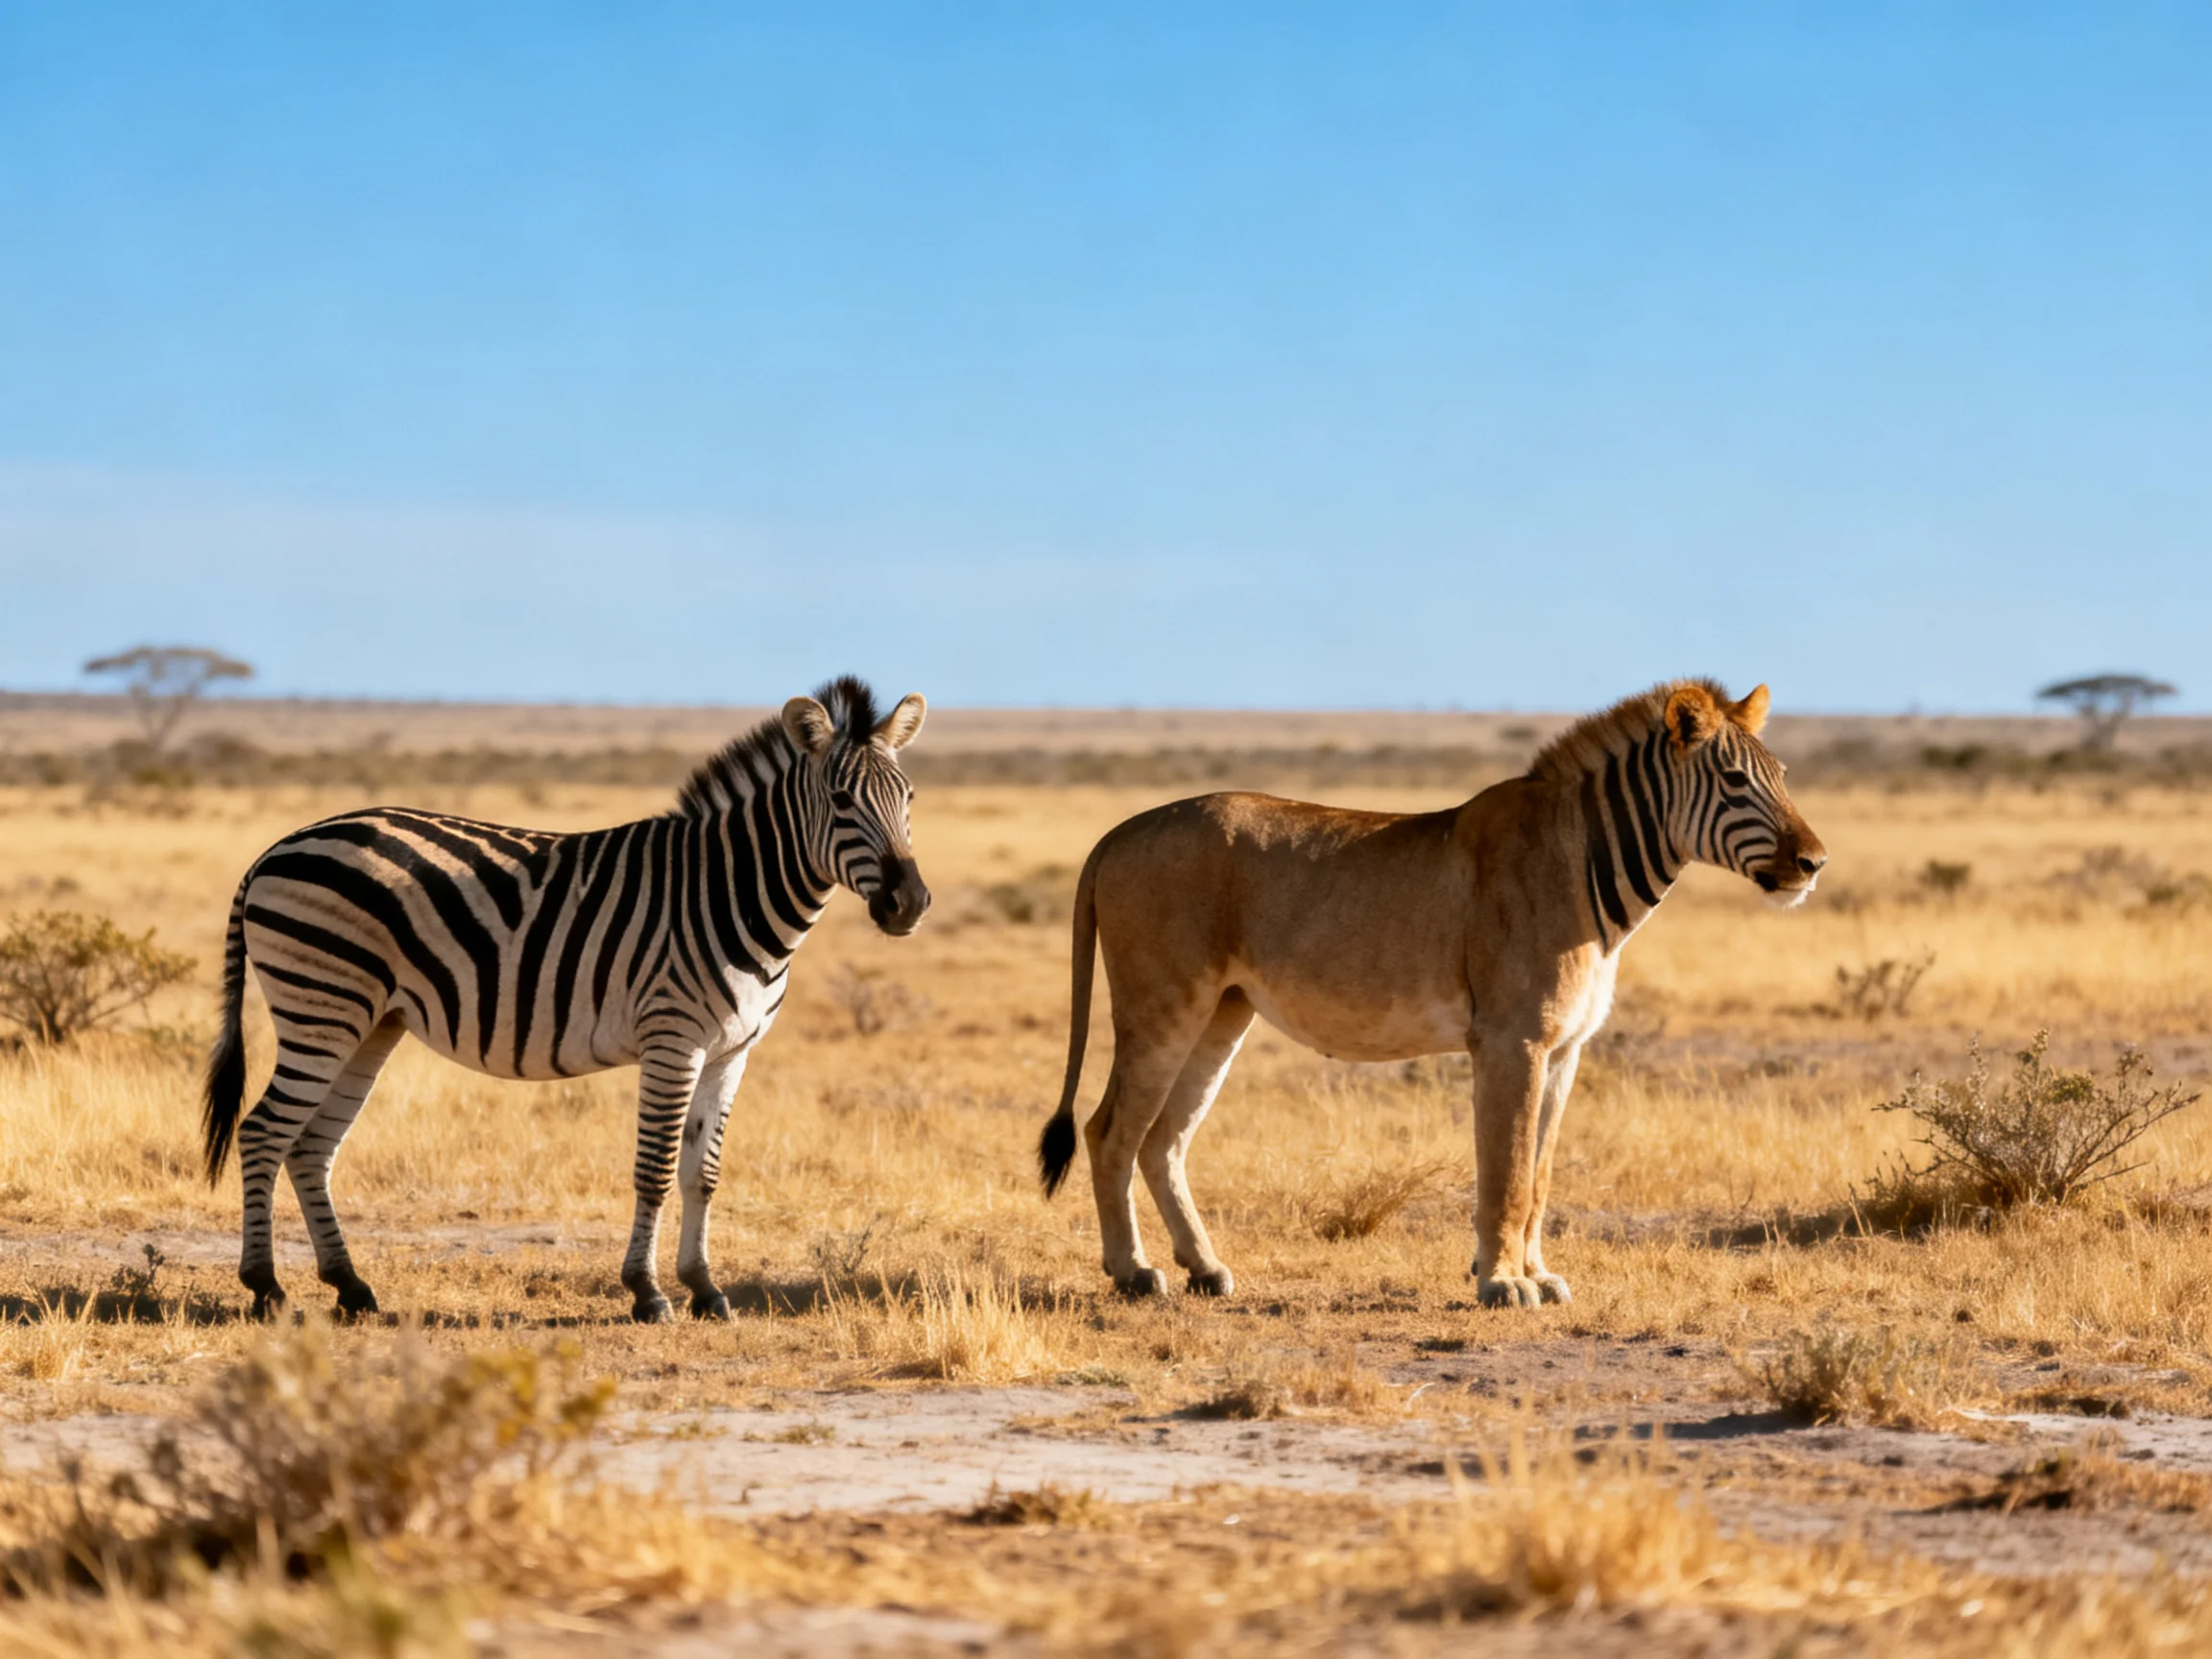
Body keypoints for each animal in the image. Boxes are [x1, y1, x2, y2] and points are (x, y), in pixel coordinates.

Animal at [201, 676, 930, 1323]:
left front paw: (706, 1288)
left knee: (311, 1145)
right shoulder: (673, 1040)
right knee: (264, 1131)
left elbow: (703, 1172)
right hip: (321, 1008)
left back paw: (350, 1287)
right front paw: (648, 1293)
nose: (910, 903)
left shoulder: (731, 1052)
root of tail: (275, 848)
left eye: (910, 797)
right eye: (840, 799)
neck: (732, 894)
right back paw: (266, 1288)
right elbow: (656, 1169)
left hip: (369, 1022)